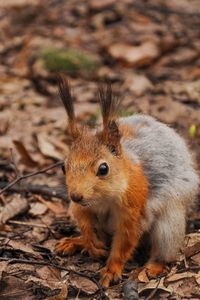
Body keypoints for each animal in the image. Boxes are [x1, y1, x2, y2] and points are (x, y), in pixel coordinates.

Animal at [54, 74, 198, 286]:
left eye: (103, 169)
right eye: (63, 167)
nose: (76, 196)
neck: (102, 199)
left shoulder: (133, 210)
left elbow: (124, 242)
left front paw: (111, 270)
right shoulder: (81, 207)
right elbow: (83, 220)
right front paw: (89, 242)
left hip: (169, 223)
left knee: (164, 250)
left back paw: (152, 267)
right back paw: (76, 242)